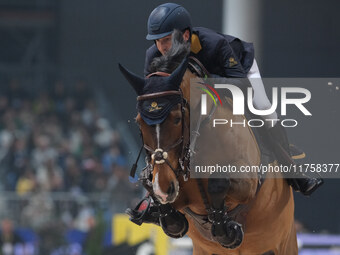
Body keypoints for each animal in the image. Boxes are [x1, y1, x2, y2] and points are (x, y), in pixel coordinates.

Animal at [120, 30, 298, 255]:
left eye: (177, 118)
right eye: (139, 121)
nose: (164, 187)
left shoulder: (247, 182)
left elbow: (217, 182)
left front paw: (226, 230)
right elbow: (150, 186)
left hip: (284, 242)